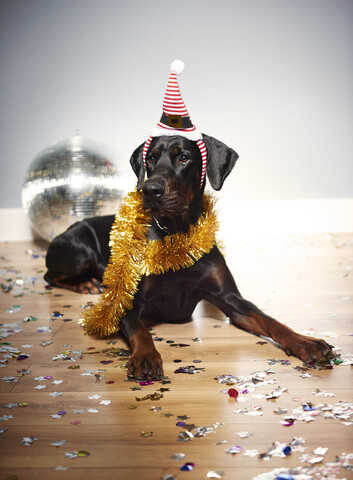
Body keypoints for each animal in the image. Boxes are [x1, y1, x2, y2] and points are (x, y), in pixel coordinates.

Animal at [44, 132, 332, 378]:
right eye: (150, 159)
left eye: (183, 157)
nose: (150, 189)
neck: (177, 235)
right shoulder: (129, 302)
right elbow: (141, 332)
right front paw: (146, 357)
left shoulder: (230, 299)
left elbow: (269, 320)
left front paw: (305, 342)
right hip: (81, 252)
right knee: (49, 275)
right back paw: (85, 284)